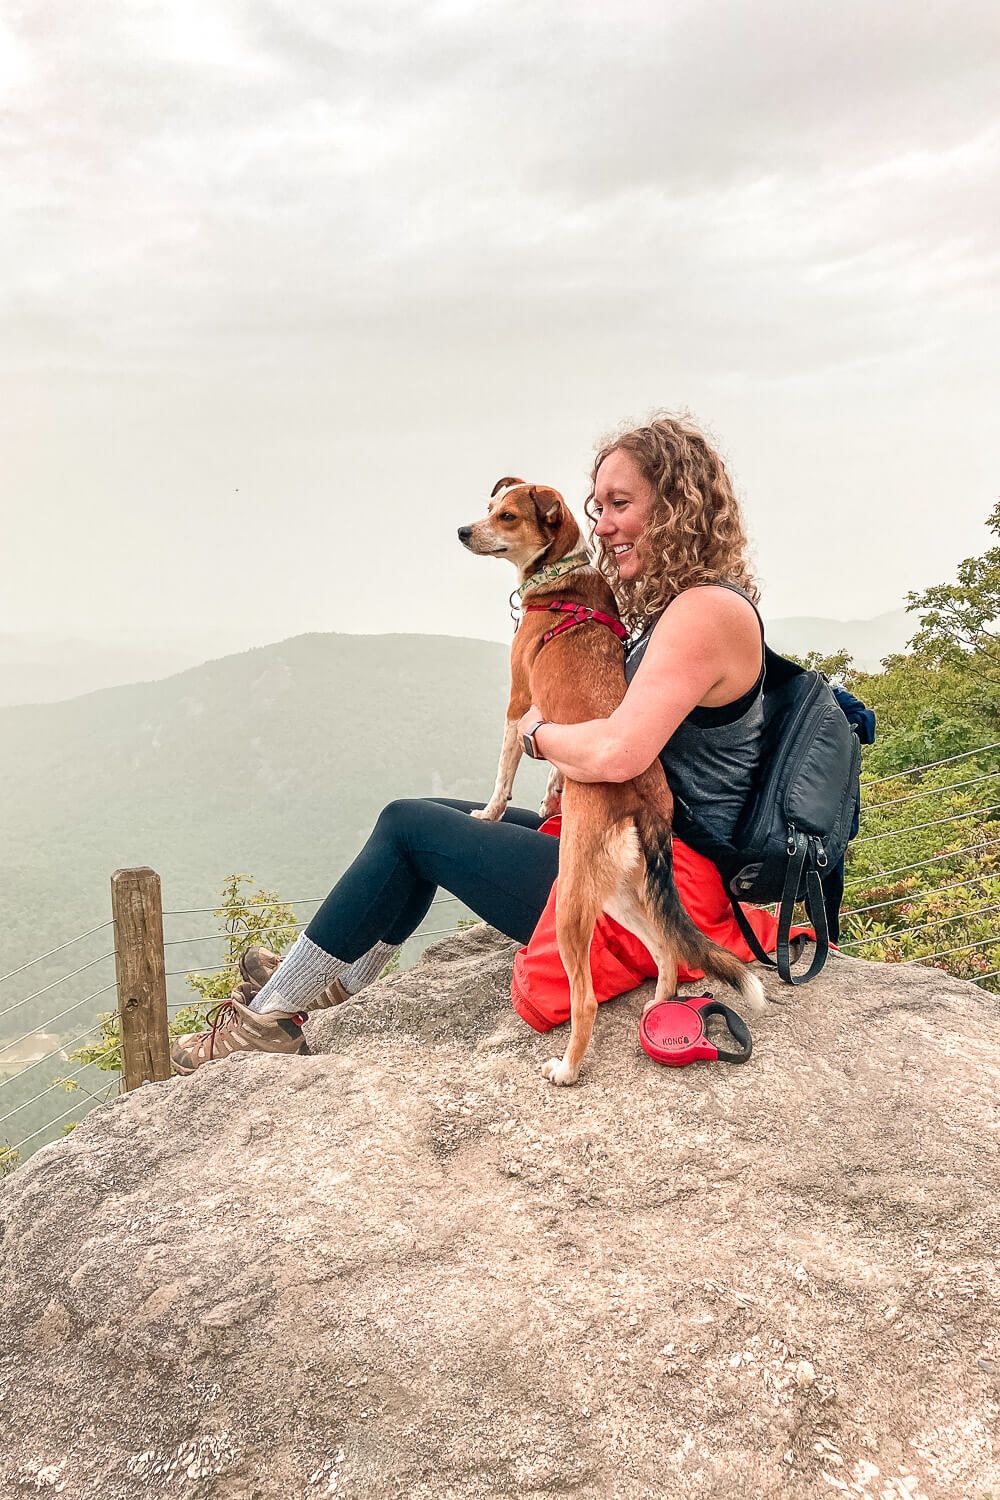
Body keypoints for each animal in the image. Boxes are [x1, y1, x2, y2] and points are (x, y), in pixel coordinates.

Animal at [461, 483, 767, 1092]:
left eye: (505, 516)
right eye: (489, 507)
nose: (462, 532)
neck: (560, 578)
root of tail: (643, 797)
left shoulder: (518, 705)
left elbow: (505, 768)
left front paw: (488, 813)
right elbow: (552, 768)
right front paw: (548, 795)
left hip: (573, 896)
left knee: (586, 1000)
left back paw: (568, 1068)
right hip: (619, 889)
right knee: (667, 949)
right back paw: (660, 1003)